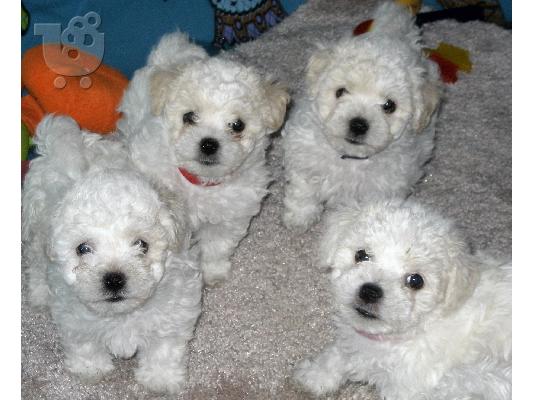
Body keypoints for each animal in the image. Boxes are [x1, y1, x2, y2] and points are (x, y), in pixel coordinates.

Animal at [20, 115, 201, 394]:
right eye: (83, 249)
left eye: (142, 245)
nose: (114, 279)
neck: (122, 314)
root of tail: (62, 139)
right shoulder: (75, 319)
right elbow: (84, 344)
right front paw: (90, 369)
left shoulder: (173, 313)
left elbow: (163, 349)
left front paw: (160, 379)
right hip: (36, 229)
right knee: (37, 263)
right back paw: (39, 295)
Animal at [119, 32, 292, 286]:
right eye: (189, 116)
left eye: (237, 125)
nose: (209, 144)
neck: (199, 182)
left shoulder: (228, 219)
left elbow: (217, 247)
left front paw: (214, 273)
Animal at [282, 3, 442, 233]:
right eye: (340, 92)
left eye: (389, 106)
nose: (358, 125)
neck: (349, 157)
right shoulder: (304, 160)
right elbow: (303, 191)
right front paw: (298, 218)